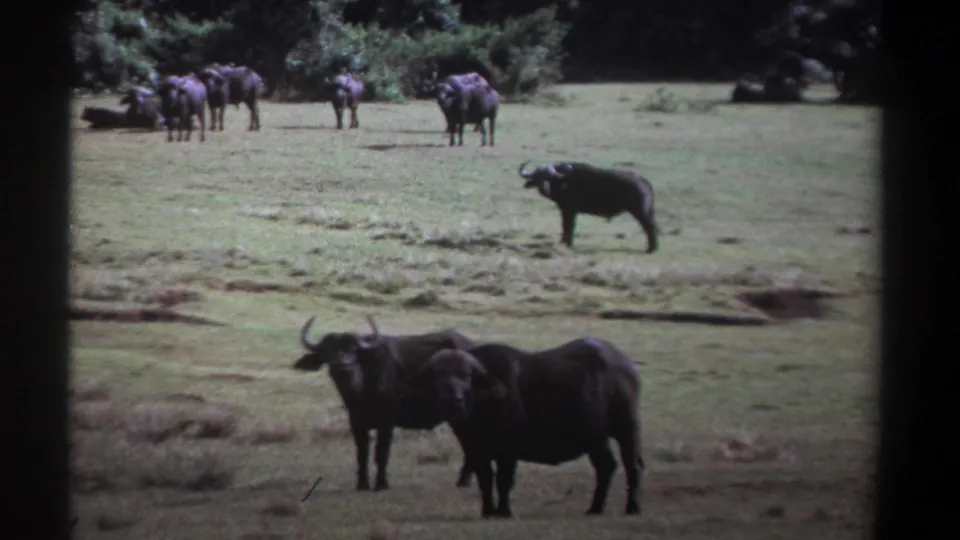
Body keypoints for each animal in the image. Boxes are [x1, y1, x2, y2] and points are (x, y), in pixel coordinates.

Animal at [293, 315, 477, 491]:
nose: (344, 367)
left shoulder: (387, 422)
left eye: (353, 351)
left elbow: (381, 453)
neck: (362, 389)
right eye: (328, 352)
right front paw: (362, 484)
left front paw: (381, 484)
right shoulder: (356, 422)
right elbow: (362, 453)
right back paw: (463, 481)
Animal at [415, 339, 646, 518]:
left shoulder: (508, 450)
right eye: (438, 375)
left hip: (627, 428)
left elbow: (504, 480)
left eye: (467, 375)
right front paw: (488, 511)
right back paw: (595, 508)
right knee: (606, 467)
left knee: (632, 465)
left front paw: (503, 511)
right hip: (596, 438)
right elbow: (485, 480)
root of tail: (626, 364)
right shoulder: (476, 450)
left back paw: (632, 507)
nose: (453, 399)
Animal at [518, 161, 661, 253]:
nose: (544, 189)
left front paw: (566, 243)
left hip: (640, 211)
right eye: (537, 178)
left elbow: (567, 226)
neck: (565, 182)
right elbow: (567, 226)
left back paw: (651, 249)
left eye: (549, 178)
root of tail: (644, 182)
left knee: (650, 227)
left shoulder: (568, 210)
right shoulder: (567, 210)